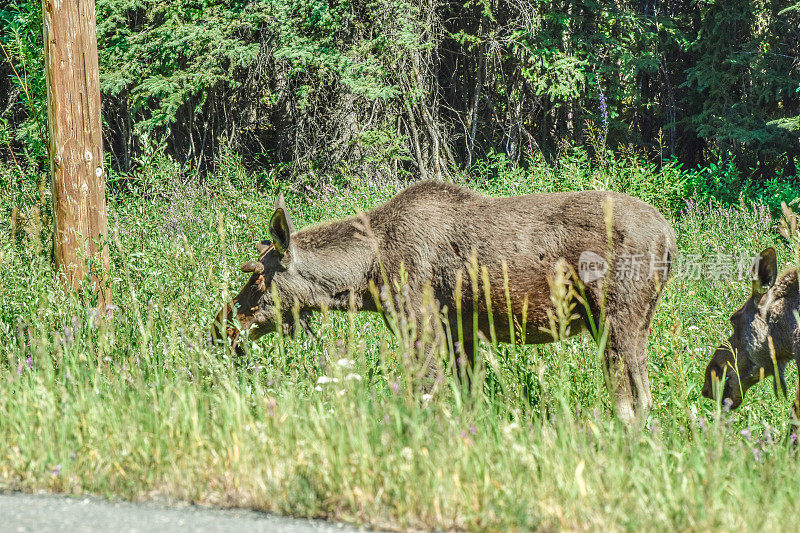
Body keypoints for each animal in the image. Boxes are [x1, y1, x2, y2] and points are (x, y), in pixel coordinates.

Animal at [212, 181, 676, 422]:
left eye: (257, 277)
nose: (222, 326)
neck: (364, 279)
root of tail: (670, 239)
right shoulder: (461, 328)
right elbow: (467, 395)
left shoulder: (420, 320)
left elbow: (424, 392)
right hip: (636, 319)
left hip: (616, 317)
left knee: (636, 400)